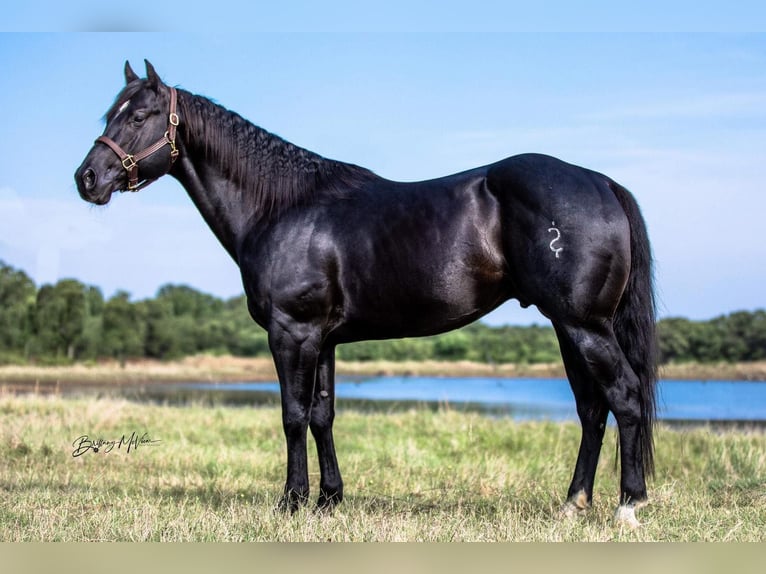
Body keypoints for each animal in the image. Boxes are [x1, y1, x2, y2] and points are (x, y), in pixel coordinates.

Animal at [75, 60, 656, 528]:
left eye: (139, 116)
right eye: (108, 115)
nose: (87, 178)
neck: (281, 208)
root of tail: (601, 182)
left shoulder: (292, 333)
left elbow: (292, 415)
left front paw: (292, 501)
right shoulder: (323, 340)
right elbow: (322, 416)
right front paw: (330, 499)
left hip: (584, 325)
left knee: (624, 396)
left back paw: (629, 505)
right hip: (568, 327)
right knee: (591, 408)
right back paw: (573, 504)